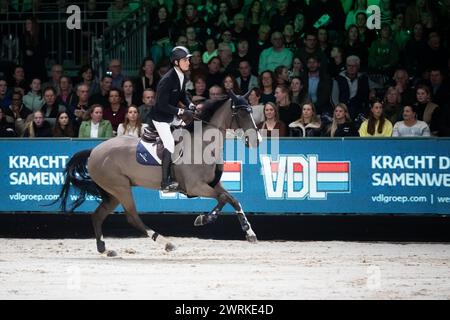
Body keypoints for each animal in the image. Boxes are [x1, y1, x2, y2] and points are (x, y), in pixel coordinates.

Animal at [56, 90, 262, 255]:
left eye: (252, 111)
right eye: (242, 112)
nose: (257, 140)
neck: (203, 145)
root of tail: (94, 151)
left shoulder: (213, 183)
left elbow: (233, 199)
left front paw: (249, 232)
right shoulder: (196, 187)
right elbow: (224, 198)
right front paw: (203, 219)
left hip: (113, 193)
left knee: (98, 215)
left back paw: (104, 249)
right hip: (120, 188)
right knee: (132, 217)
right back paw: (166, 243)